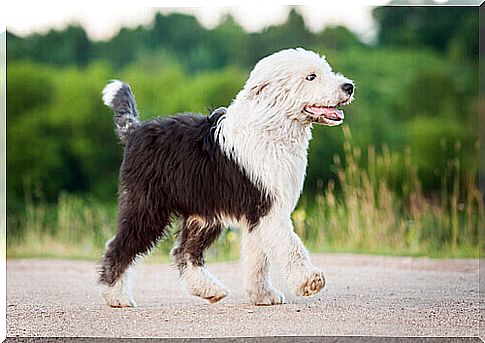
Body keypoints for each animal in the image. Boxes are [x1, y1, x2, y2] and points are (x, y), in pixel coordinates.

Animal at [99, 47, 356, 306]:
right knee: (118, 246)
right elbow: (290, 245)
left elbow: (257, 258)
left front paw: (263, 295)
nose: (349, 86)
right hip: (147, 206)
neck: (271, 128)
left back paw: (209, 289)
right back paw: (116, 296)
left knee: (184, 252)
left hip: (203, 214)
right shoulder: (268, 207)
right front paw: (310, 281)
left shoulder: (258, 213)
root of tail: (135, 131)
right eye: (311, 77)